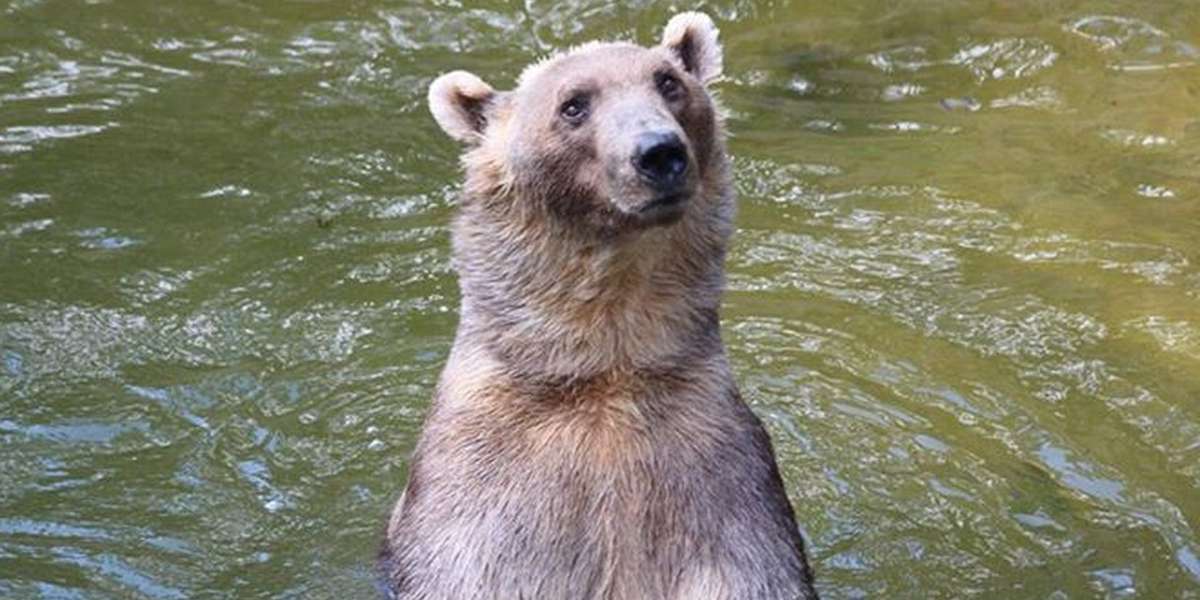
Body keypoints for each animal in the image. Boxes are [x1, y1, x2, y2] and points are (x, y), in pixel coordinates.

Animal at [378, 12, 818, 600]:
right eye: (573, 104)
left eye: (667, 81)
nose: (659, 152)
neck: (606, 368)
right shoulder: (484, 496)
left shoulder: (719, 481)